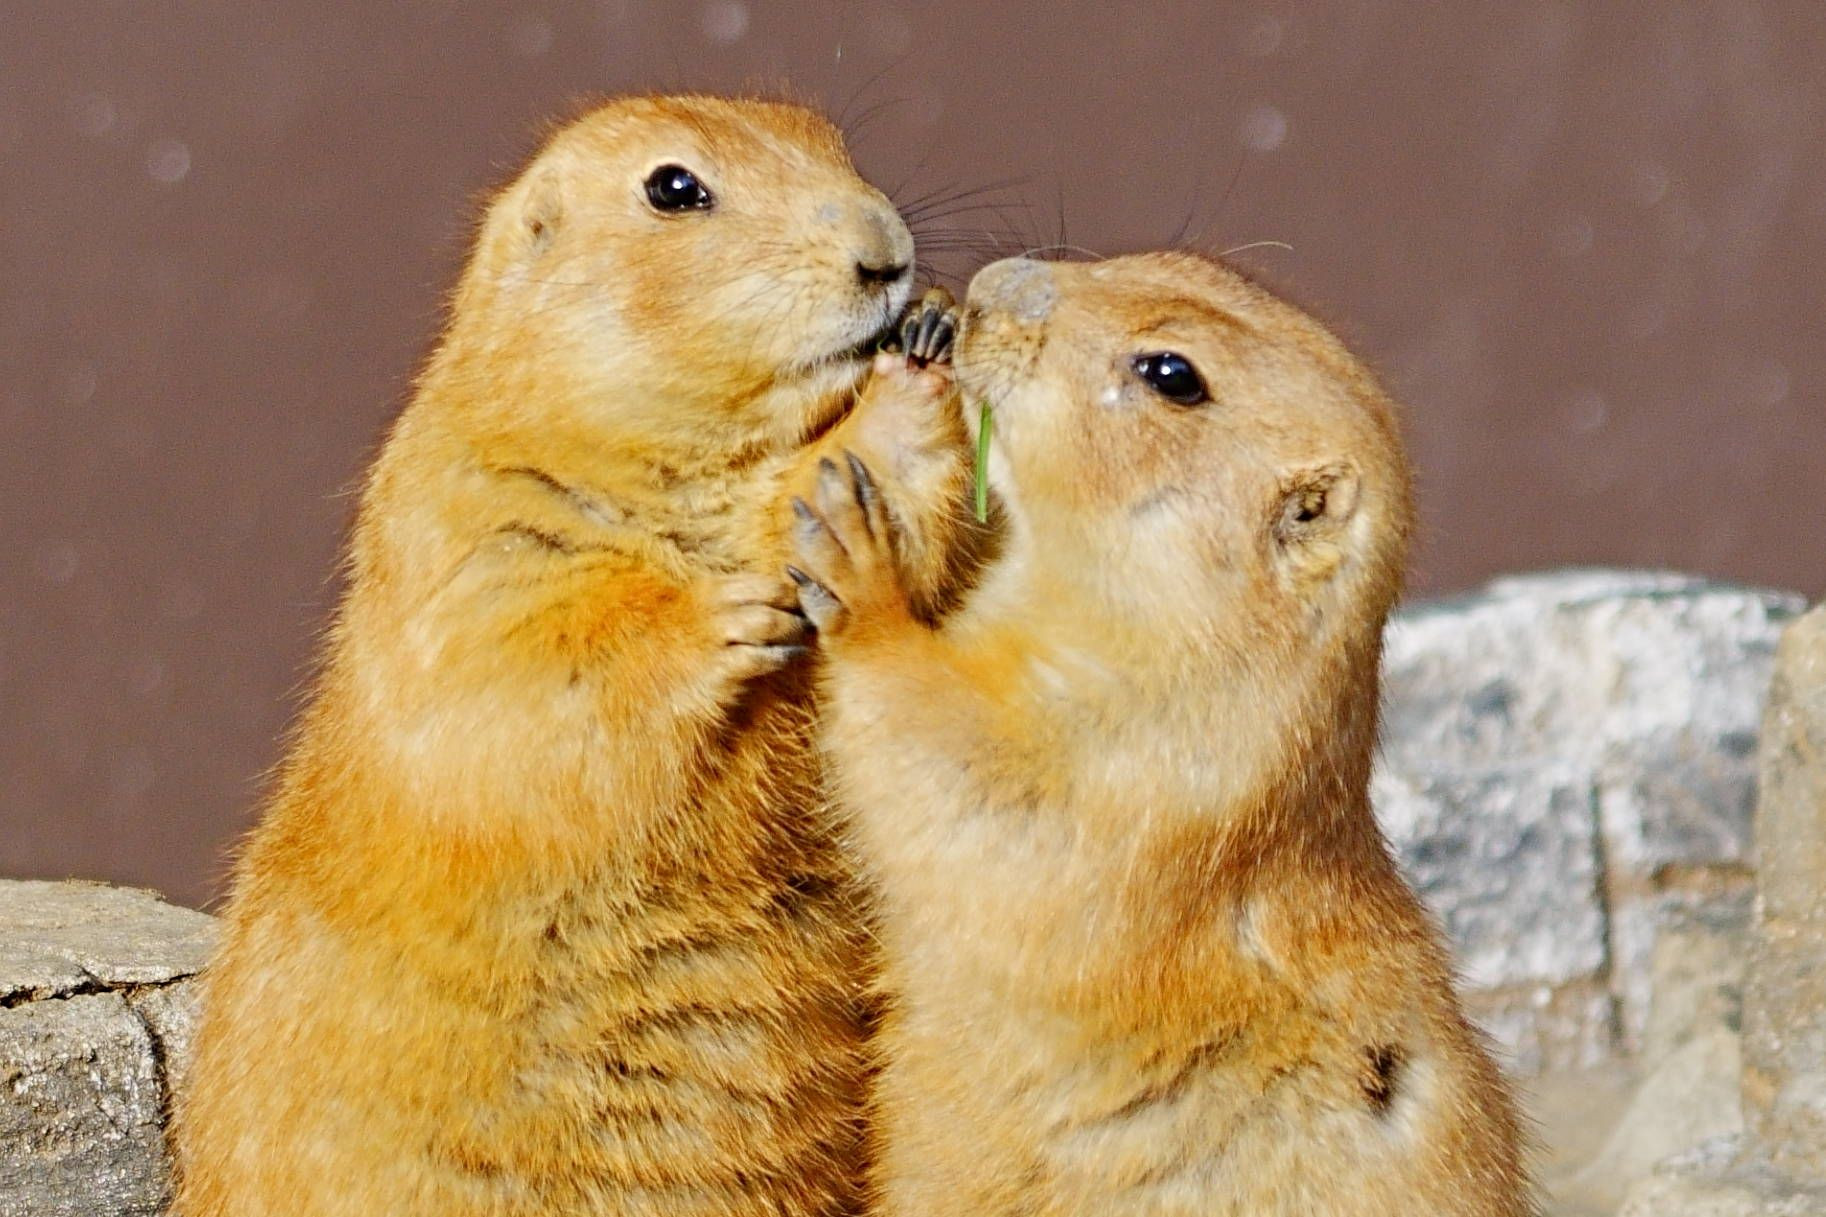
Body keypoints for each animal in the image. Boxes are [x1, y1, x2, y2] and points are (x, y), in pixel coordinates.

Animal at [787, 252, 1533, 1216]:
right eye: (1177, 263)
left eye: (1172, 374)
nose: (990, 284)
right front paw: (922, 336)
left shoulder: (1148, 756)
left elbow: (973, 776)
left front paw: (858, 555)